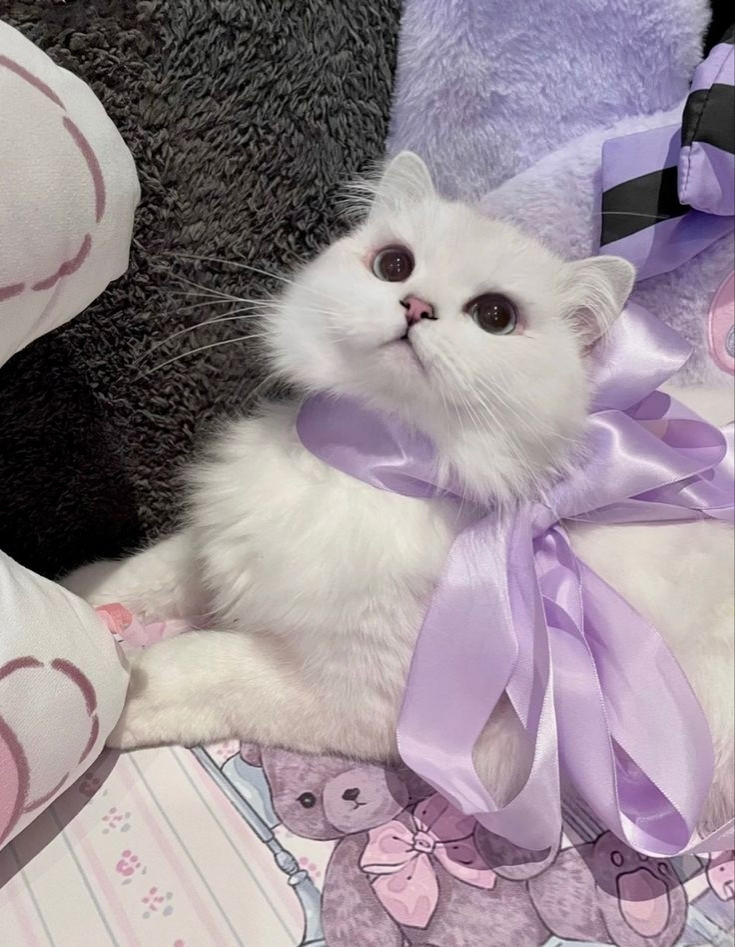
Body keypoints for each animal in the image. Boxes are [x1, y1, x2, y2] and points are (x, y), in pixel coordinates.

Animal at [64, 150, 735, 828]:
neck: (373, 461)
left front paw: (123, 688)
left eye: (496, 317)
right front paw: (79, 602)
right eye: (394, 265)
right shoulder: (219, 542)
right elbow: (145, 575)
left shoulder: (352, 694)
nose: (415, 306)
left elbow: (208, 665)